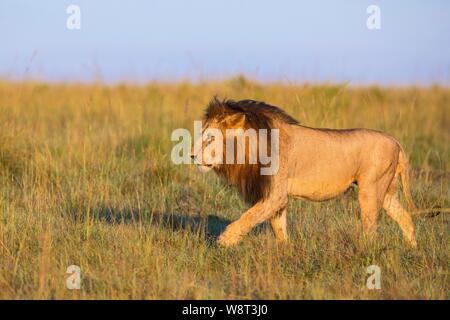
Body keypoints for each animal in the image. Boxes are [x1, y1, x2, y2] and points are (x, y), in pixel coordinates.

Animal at [190, 97, 446, 248]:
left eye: (210, 138)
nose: (191, 156)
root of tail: (396, 142)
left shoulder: (275, 194)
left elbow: (248, 217)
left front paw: (225, 240)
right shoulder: (278, 198)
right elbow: (279, 227)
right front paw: (286, 253)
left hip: (370, 190)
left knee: (371, 228)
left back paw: (366, 254)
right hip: (387, 191)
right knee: (405, 218)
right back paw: (412, 250)